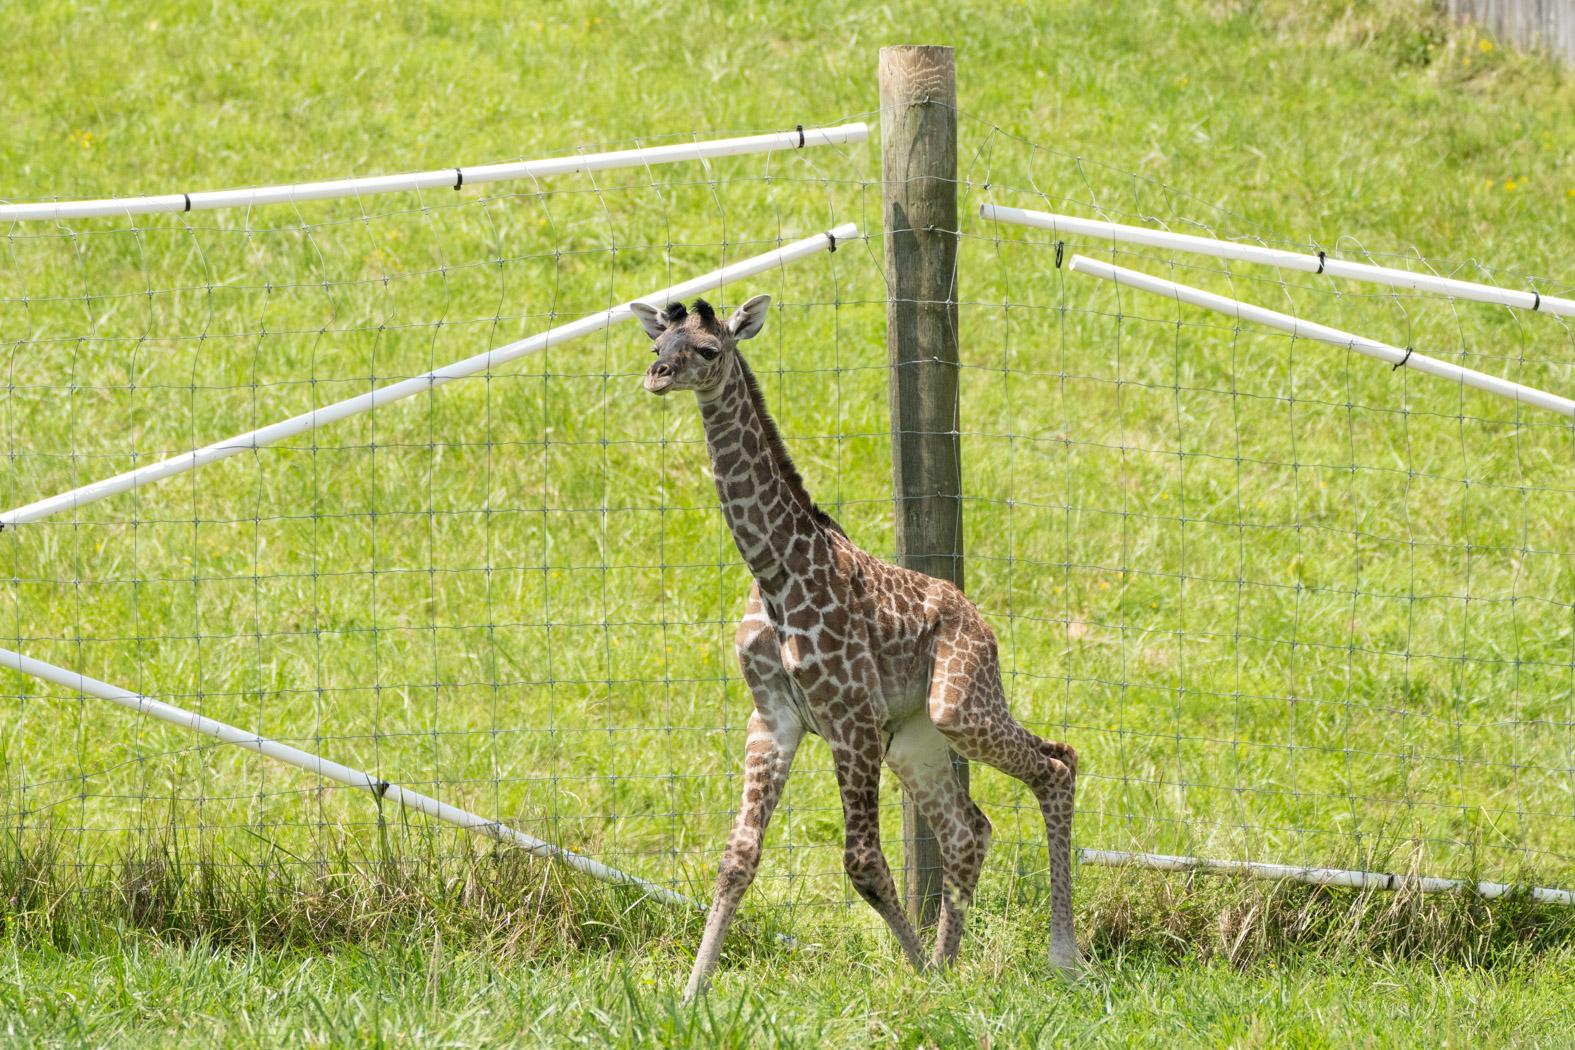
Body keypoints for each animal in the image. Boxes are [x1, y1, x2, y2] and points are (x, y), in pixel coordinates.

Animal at [632, 295, 1080, 1000]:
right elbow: (738, 857)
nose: (657, 376)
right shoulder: (774, 719)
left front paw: (917, 973)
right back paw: (951, 966)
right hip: (915, 737)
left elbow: (864, 862)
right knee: (968, 829)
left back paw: (1059, 957)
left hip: (960, 703)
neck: (775, 571)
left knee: (1056, 765)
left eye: (707, 349)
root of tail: (982, 622)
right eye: (658, 345)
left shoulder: (850, 716)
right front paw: (691, 993)